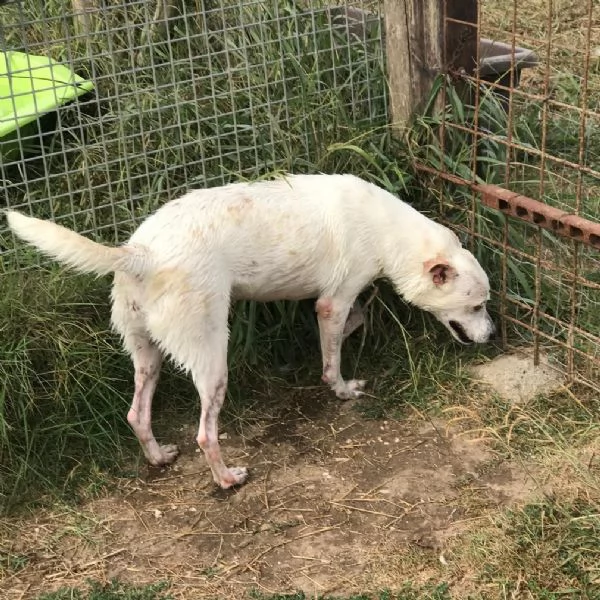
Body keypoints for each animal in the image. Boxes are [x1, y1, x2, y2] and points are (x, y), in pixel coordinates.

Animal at [4, 173, 494, 488]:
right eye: (477, 305)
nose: (492, 337)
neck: (386, 230)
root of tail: (139, 252)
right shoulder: (332, 302)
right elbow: (333, 359)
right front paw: (341, 388)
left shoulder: (331, 304)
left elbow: (352, 323)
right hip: (211, 359)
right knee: (205, 433)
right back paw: (226, 479)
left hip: (147, 355)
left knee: (136, 415)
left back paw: (159, 457)